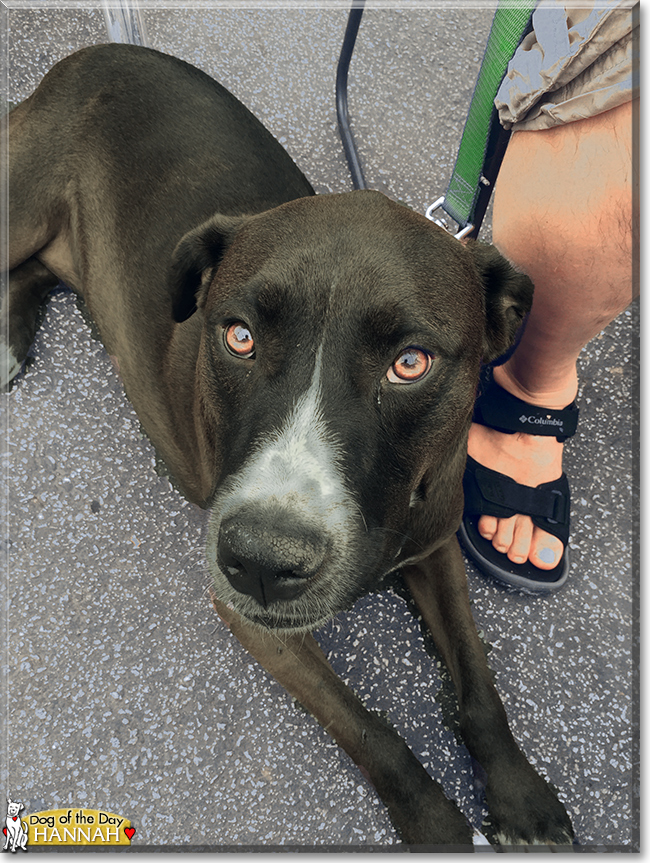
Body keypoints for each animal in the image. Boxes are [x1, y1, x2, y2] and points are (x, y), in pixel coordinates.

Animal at [3, 44, 572, 848]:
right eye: (238, 336)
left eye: (411, 362)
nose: (264, 562)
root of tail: (91, 52)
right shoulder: (252, 618)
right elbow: (373, 732)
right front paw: (436, 824)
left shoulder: (436, 546)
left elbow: (477, 680)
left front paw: (521, 794)